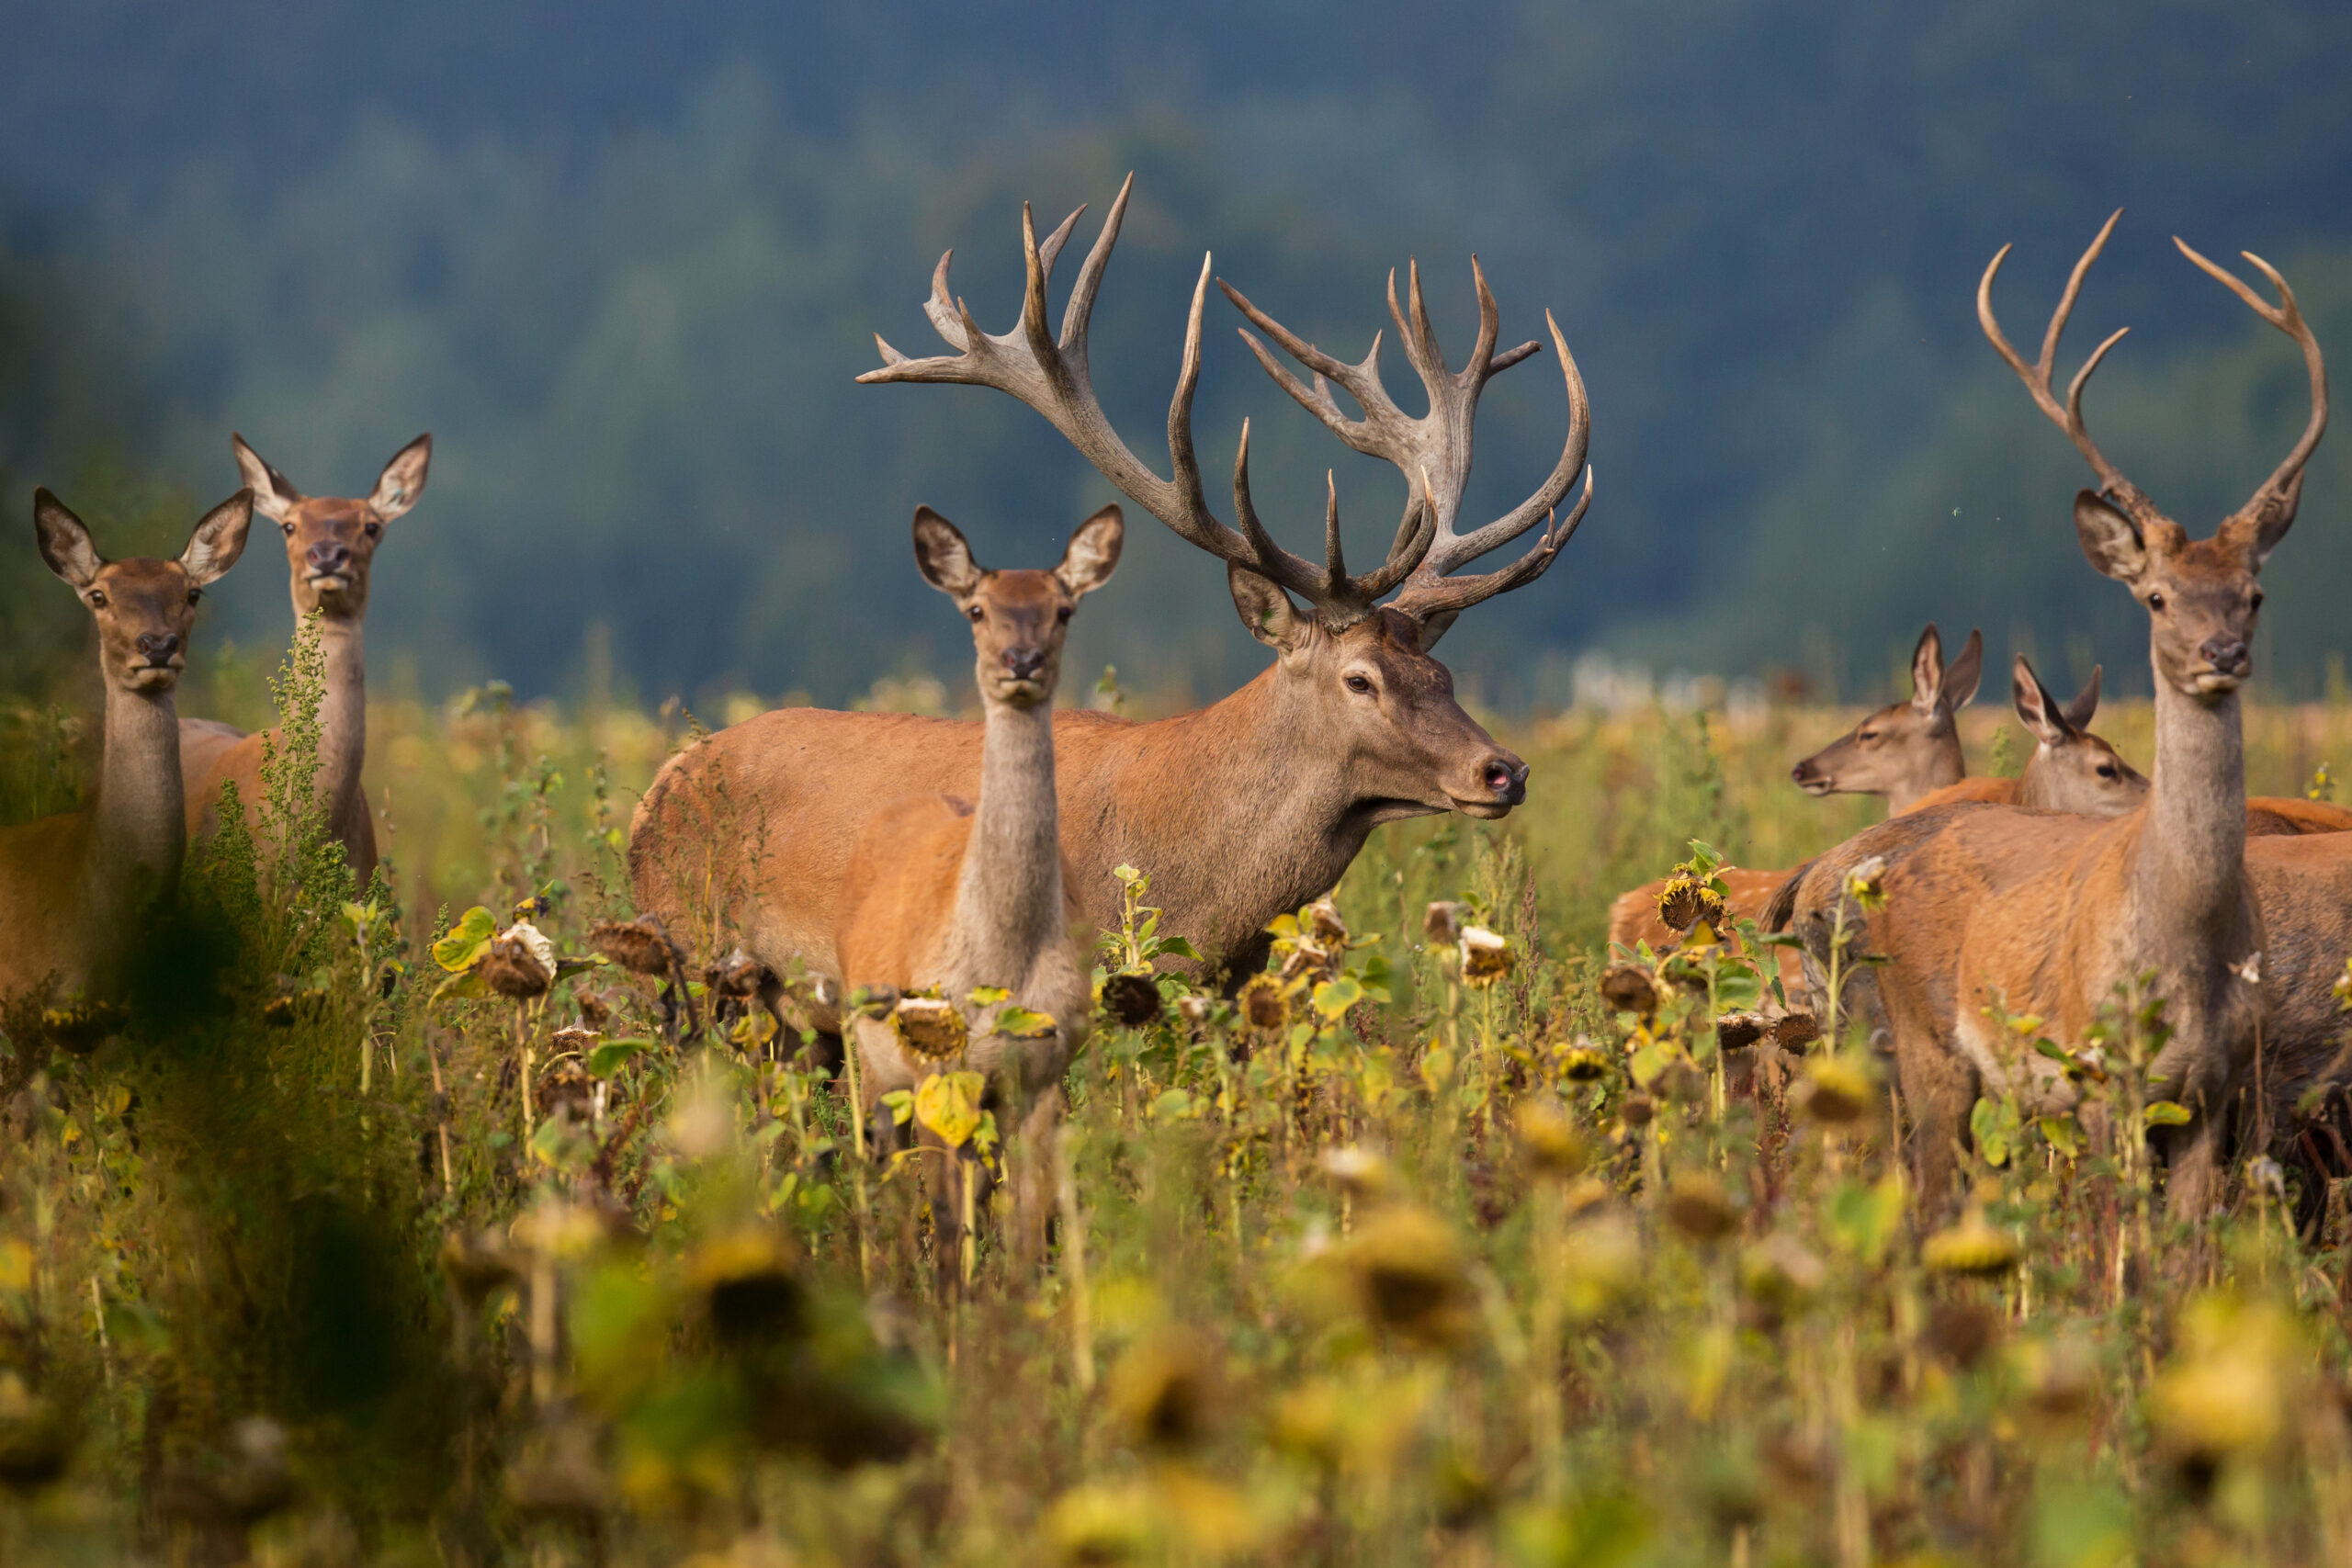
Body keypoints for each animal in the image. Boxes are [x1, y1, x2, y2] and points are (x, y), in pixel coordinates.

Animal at [628, 175, 1590, 1034]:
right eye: (1359, 678)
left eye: (1442, 670)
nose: (1504, 770)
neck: (1195, 892)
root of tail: (657, 790)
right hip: (691, 965)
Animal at [836, 505, 1122, 1269]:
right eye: (976, 608)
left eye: (1063, 608)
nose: (1020, 661)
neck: (1002, 966)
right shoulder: (935, 1068)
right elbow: (945, 1222)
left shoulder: (1042, 1074)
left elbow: (1024, 1230)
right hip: (871, 1060)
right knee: (885, 1185)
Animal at [1769, 213, 2323, 1218]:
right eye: (2154, 595)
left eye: (2255, 593)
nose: (2220, 654)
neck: (2186, 943)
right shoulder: (2100, 1078)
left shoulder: (2216, 1092)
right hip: (1920, 1046)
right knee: (1916, 1185)